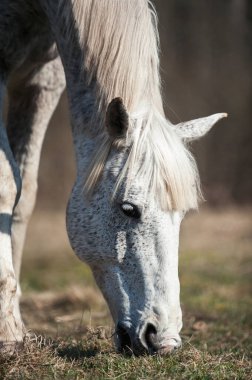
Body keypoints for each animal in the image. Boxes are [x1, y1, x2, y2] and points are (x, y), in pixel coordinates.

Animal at [0, 0, 226, 356]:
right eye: (128, 209)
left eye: (181, 216)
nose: (163, 341)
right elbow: (7, 184)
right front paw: (7, 333)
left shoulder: (44, 81)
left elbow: (23, 193)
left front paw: (14, 324)